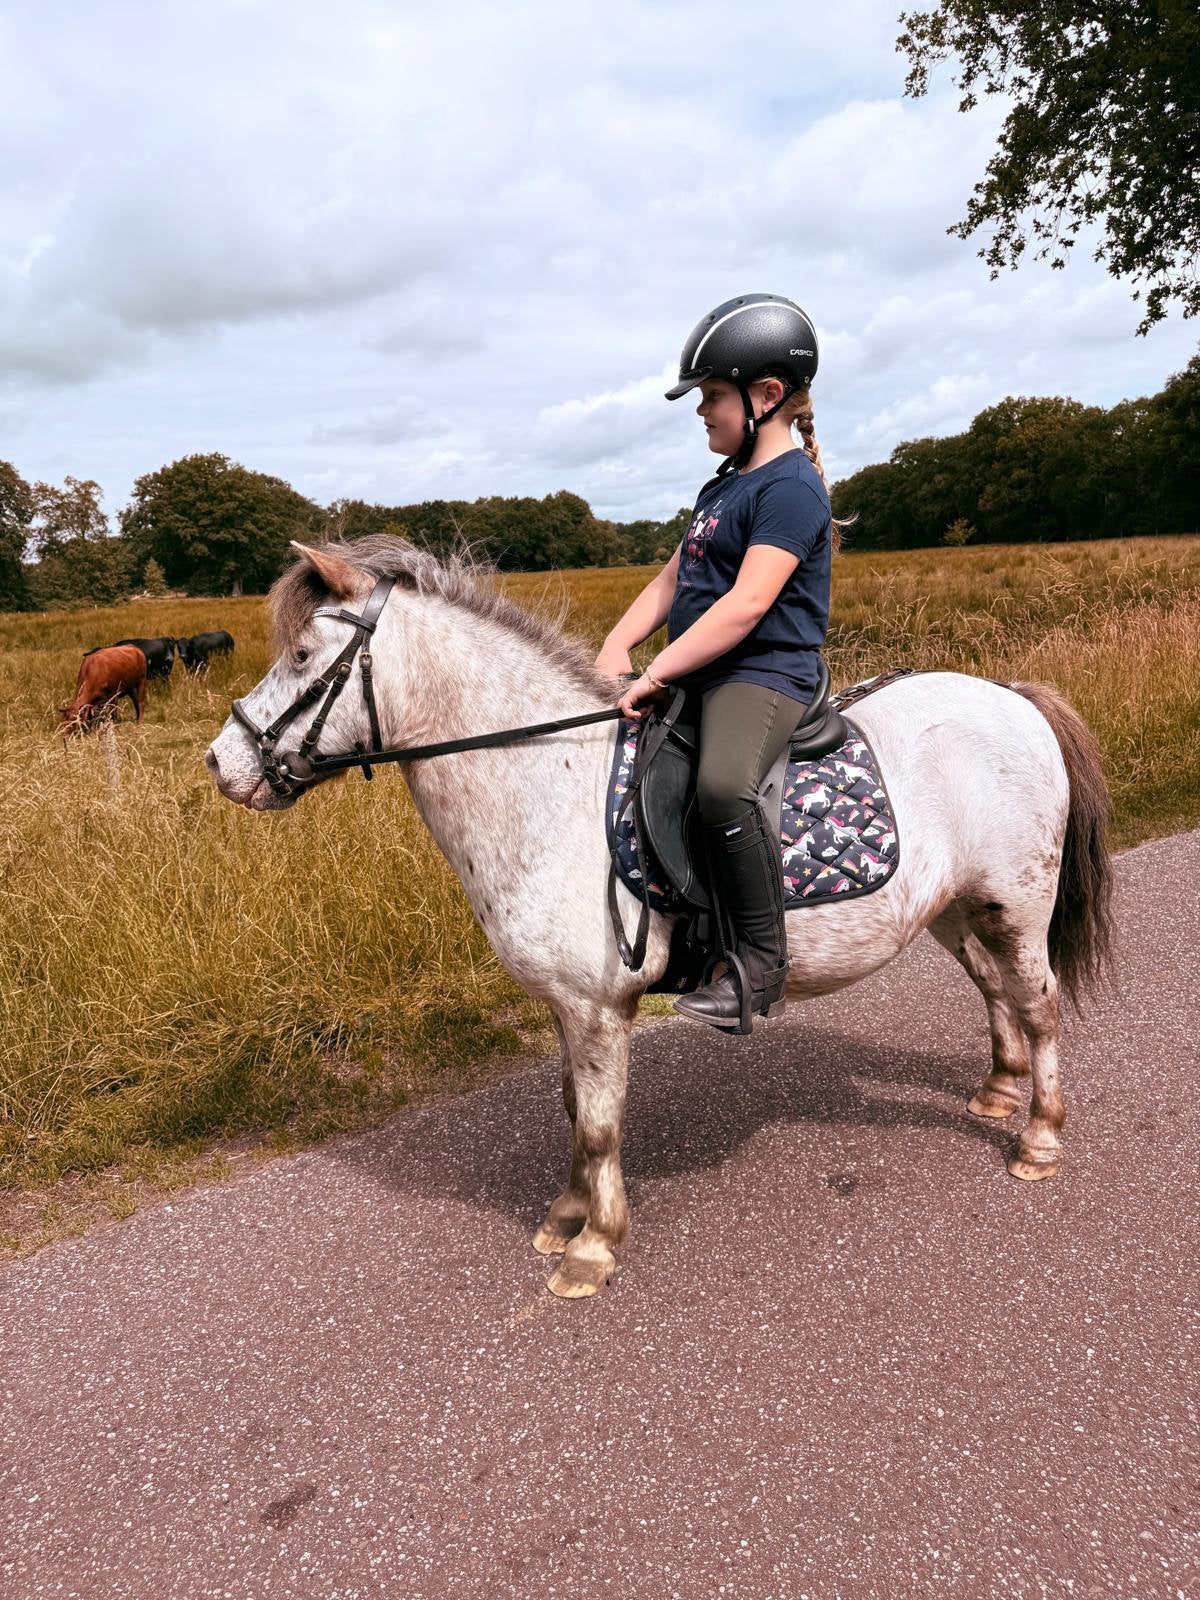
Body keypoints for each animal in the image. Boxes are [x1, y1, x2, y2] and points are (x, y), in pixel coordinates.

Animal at [205, 535, 1114, 1300]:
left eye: (301, 655)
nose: (220, 762)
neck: (549, 786)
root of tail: (1010, 696)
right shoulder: (565, 1005)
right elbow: (575, 1110)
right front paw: (566, 1216)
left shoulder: (599, 1004)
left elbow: (602, 1126)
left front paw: (593, 1248)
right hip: (958, 909)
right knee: (994, 990)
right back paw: (997, 1091)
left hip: (1016, 902)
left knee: (1037, 1003)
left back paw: (1039, 1137)